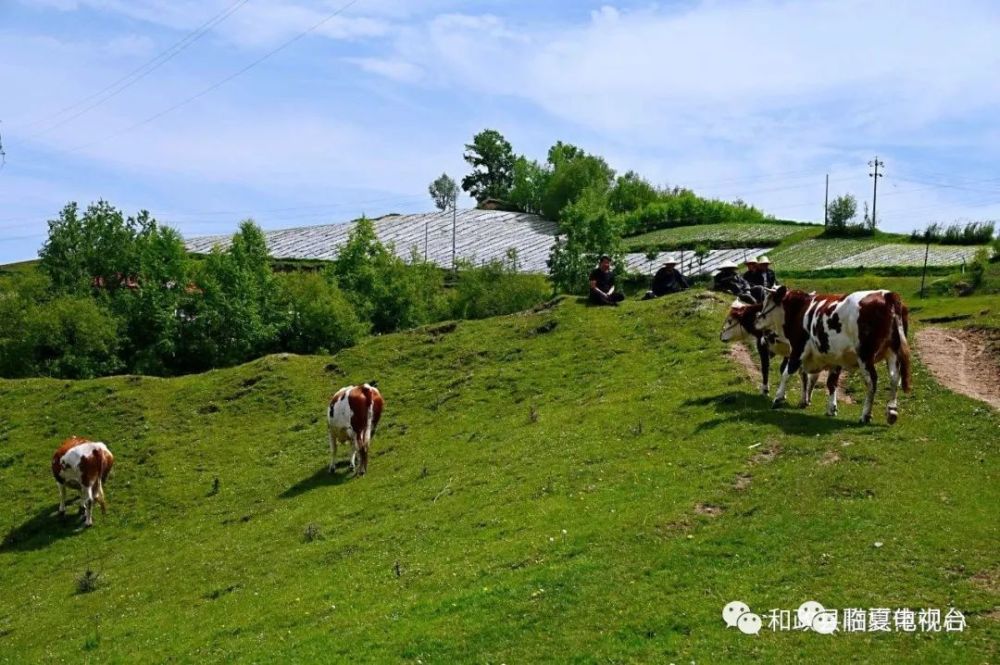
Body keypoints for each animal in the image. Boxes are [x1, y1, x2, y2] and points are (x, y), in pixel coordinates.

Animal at [752, 286, 912, 422]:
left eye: (766, 302)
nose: (756, 319)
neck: (800, 309)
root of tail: (887, 295)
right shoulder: (835, 357)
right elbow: (831, 383)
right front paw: (831, 408)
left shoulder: (798, 349)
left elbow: (787, 373)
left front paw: (778, 398)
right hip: (892, 351)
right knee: (894, 378)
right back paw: (891, 411)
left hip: (865, 355)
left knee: (872, 381)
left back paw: (865, 415)